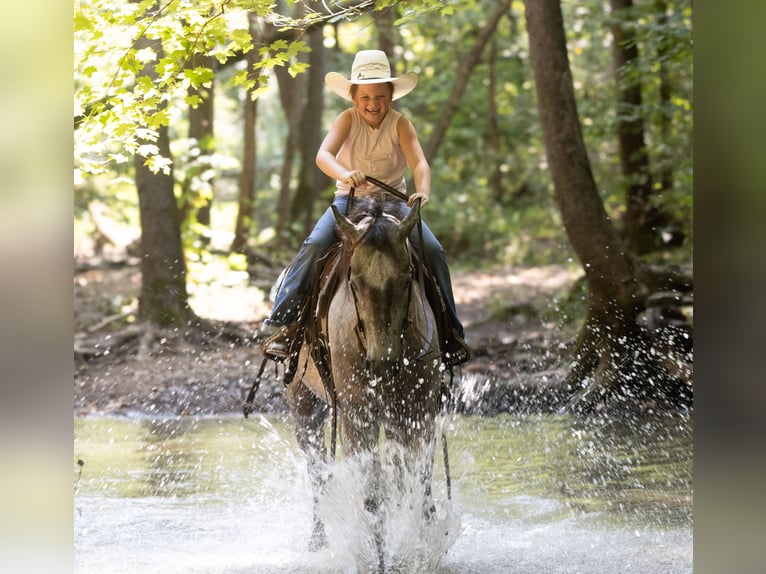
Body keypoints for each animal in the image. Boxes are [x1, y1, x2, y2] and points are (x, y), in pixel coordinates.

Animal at [285, 194, 444, 571]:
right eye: (354, 283)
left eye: (408, 278)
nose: (382, 361)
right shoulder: (358, 415)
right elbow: (372, 495)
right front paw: (378, 560)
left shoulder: (417, 413)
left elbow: (418, 486)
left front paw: (419, 551)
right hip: (305, 405)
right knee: (318, 471)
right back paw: (318, 540)